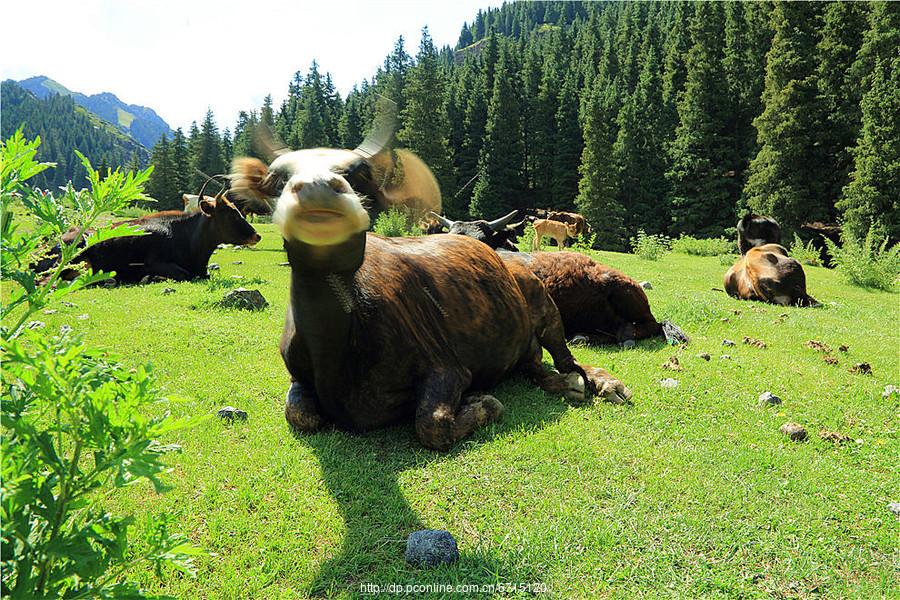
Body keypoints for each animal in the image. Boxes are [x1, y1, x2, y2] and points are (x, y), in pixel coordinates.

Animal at [229, 149, 628, 450]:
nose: (317, 188)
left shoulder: (448, 368)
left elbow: (432, 425)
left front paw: (484, 403)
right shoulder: (297, 377)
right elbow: (299, 414)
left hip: (548, 313)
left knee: (569, 361)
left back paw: (603, 384)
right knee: (541, 372)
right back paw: (566, 385)